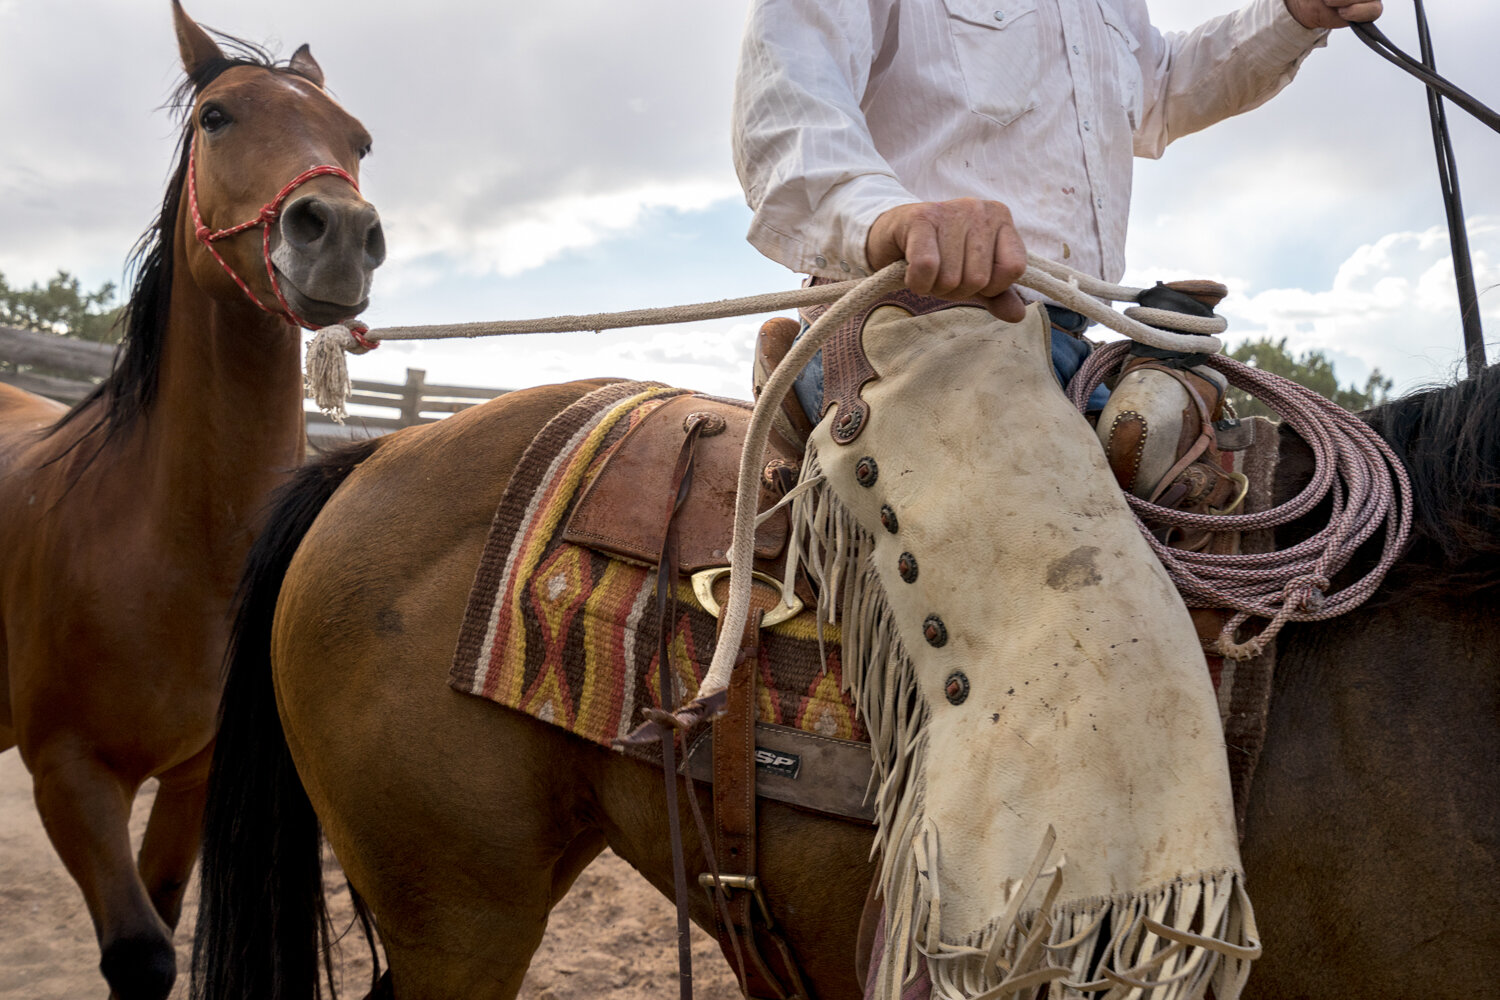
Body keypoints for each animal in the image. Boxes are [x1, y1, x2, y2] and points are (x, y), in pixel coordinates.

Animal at [0, 7, 384, 1000]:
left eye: (360, 139)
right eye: (216, 116)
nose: (339, 230)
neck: (173, 548)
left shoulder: (191, 777)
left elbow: (165, 918)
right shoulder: (69, 775)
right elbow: (140, 953)